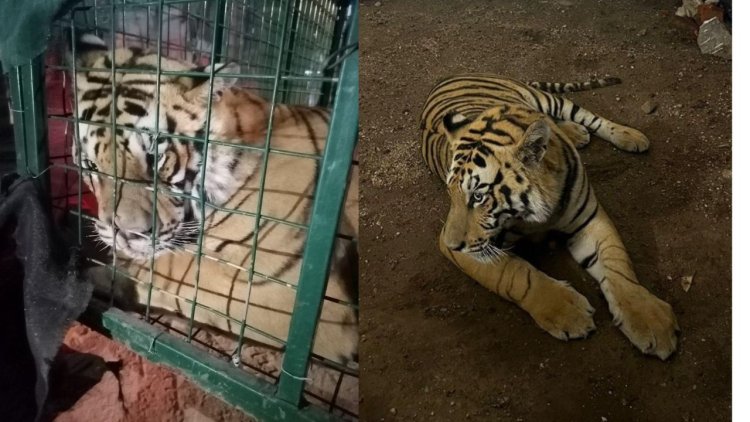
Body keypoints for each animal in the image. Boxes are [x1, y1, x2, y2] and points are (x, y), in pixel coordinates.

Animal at [69, 33, 360, 364]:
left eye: (155, 159)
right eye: (91, 166)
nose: (126, 234)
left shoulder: (299, 298)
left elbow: (179, 272)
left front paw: (104, 274)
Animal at [424, 75, 680, 360]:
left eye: (478, 196)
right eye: (450, 193)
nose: (451, 244)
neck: (533, 215)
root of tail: (450, 77)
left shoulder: (589, 219)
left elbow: (617, 263)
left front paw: (650, 319)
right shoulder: (474, 249)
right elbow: (516, 274)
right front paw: (567, 312)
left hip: (548, 100)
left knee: (588, 117)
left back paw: (629, 136)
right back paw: (576, 133)